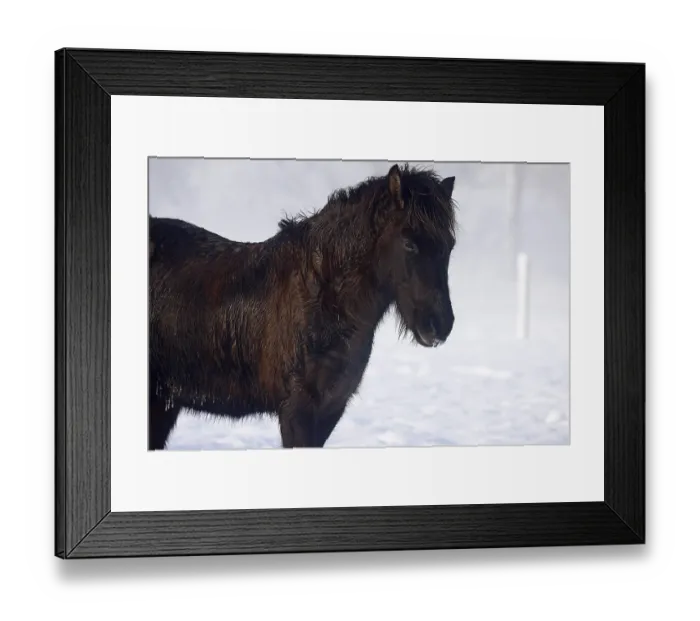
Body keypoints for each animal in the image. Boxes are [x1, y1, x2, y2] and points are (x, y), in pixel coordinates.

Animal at [148, 163, 457, 450]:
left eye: (450, 245)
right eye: (409, 243)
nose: (440, 325)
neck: (322, 299)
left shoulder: (331, 409)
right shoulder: (297, 410)